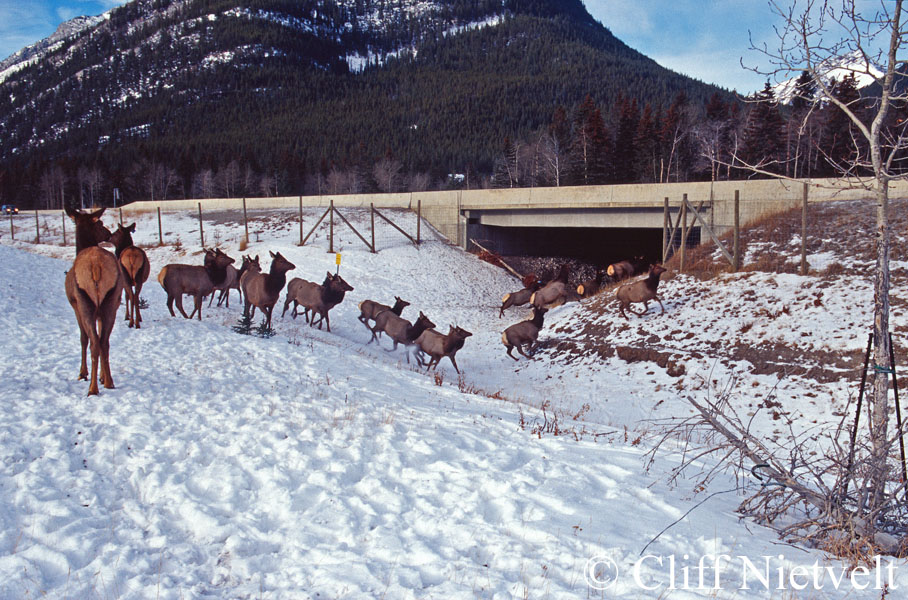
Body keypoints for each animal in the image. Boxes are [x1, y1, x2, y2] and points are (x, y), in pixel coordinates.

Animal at [64, 206, 124, 396]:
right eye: (100, 223)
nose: (108, 234)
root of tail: (96, 265)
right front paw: (103, 376)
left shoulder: (75, 306)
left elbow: (83, 338)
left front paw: (82, 373)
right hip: (110, 302)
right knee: (104, 342)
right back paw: (109, 382)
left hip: (85, 303)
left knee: (94, 343)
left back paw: (92, 388)